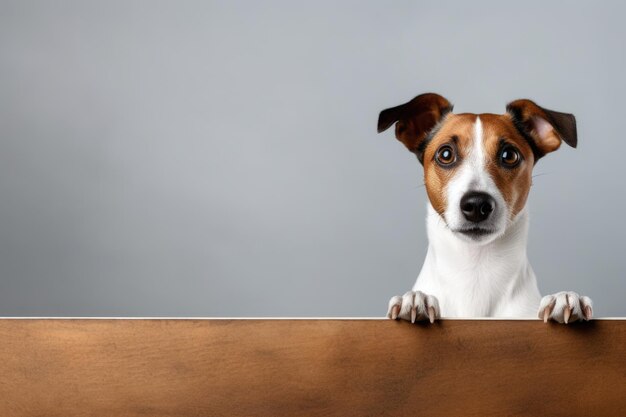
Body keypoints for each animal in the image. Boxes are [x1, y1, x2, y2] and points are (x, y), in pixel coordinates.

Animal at [376, 92, 588, 324]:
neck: (475, 270)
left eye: (509, 155)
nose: (476, 204)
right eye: (445, 154)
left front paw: (564, 299)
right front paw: (416, 299)